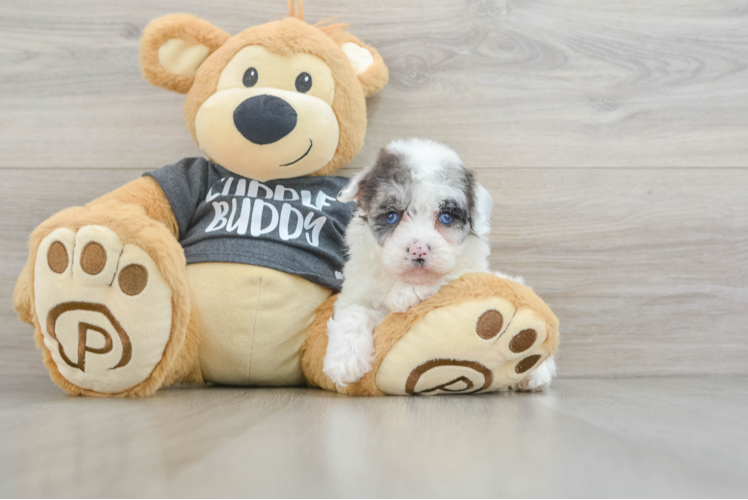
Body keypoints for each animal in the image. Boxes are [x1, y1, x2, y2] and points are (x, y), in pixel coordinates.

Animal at [322, 140, 556, 390]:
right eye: (391, 216)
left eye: (446, 217)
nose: (419, 249)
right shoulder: (358, 288)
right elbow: (352, 313)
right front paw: (345, 362)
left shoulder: (470, 269)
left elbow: (450, 275)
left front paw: (405, 294)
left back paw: (535, 374)